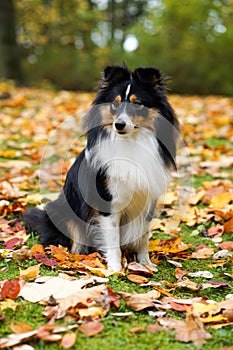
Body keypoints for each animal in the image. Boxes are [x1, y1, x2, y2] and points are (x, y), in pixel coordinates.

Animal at [23, 66, 179, 274]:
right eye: (115, 103)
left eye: (137, 104)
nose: (119, 125)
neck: (130, 141)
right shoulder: (107, 202)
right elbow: (112, 239)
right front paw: (115, 268)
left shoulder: (148, 198)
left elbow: (143, 236)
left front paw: (145, 263)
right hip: (65, 213)